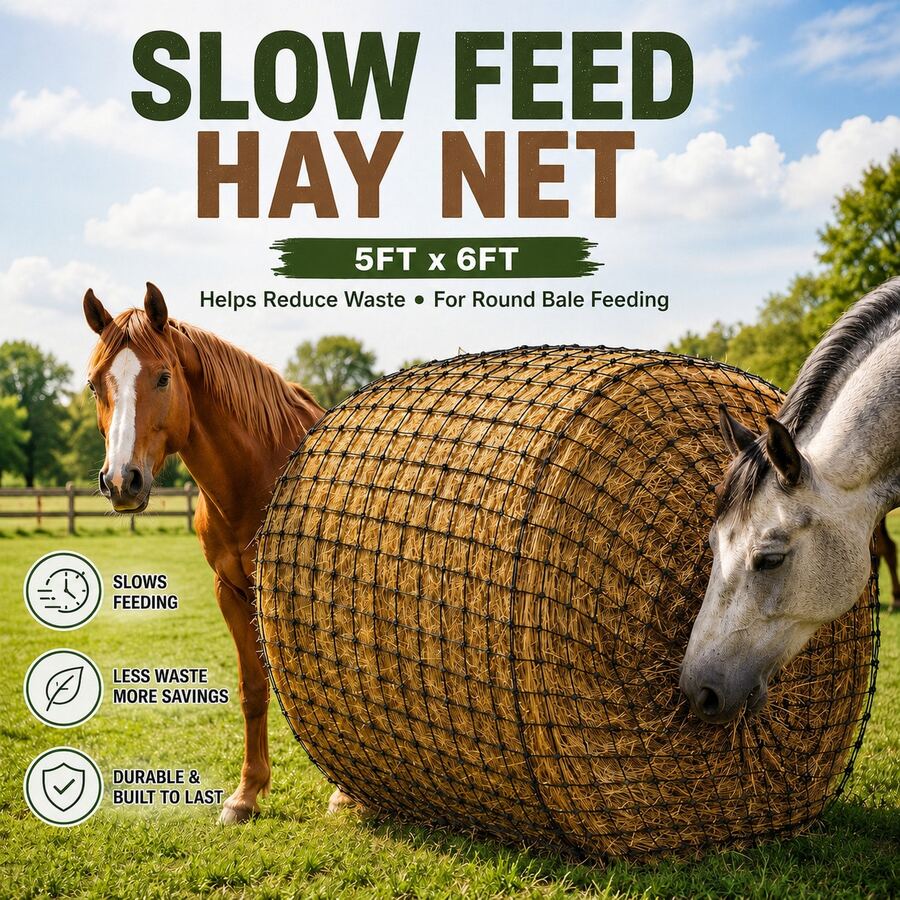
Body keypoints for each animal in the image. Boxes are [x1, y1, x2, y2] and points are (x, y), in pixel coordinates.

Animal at [83, 284, 353, 822]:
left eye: (163, 376)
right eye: (94, 384)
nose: (122, 480)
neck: (261, 474)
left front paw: (342, 793)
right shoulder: (230, 590)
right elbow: (253, 690)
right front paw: (246, 794)